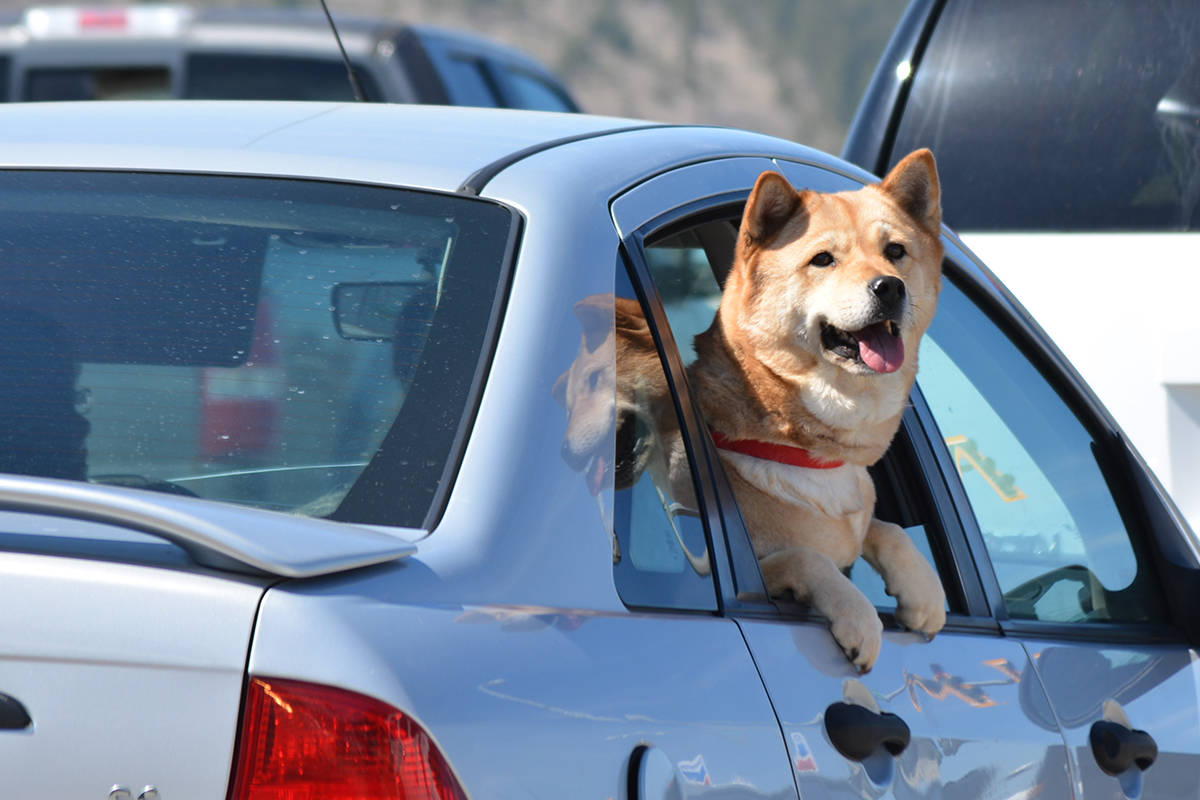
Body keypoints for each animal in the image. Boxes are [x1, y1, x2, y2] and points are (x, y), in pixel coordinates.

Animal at [696, 151, 945, 676]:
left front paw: (923, 591)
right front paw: (860, 621)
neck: (811, 451)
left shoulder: (862, 515)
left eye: (895, 251)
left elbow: (885, 527)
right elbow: (809, 559)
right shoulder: (748, 566)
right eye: (823, 259)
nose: (889, 288)